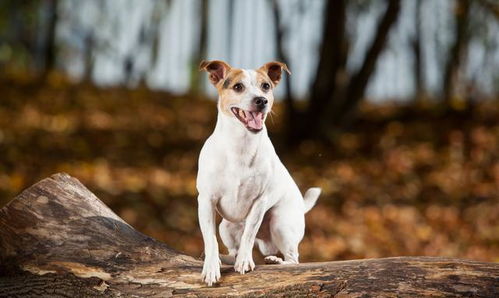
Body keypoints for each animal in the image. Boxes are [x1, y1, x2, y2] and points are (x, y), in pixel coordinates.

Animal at [195, 59, 320, 286]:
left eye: (266, 86)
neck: (241, 145)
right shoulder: (206, 200)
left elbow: (249, 234)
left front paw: (245, 261)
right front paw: (211, 266)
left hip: (281, 223)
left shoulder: (260, 202)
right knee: (232, 250)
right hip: (226, 227)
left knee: (294, 259)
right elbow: (210, 239)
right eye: (238, 87)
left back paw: (276, 261)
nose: (262, 100)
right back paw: (226, 258)